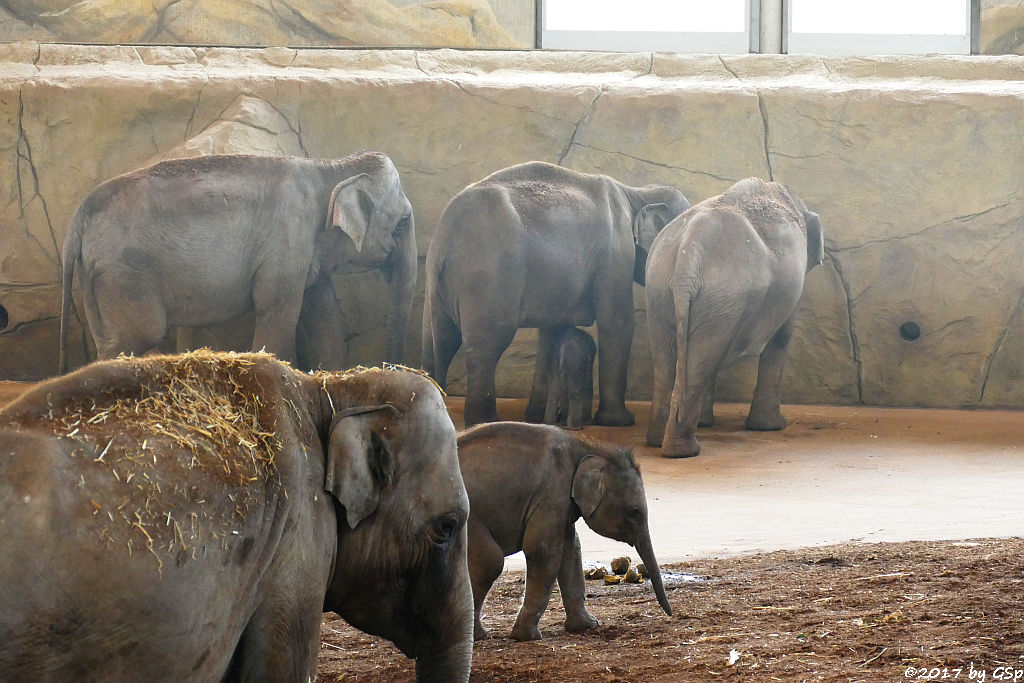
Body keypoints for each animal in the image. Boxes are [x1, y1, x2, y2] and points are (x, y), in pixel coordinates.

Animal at [58, 151, 415, 374]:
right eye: (401, 223)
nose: (392, 365)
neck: (332, 167)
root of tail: (77, 220)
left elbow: (323, 314)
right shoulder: (287, 240)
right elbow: (278, 314)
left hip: (97, 279)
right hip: (123, 273)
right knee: (138, 334)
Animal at [419, 161, 692, 428]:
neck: (636, 192)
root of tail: (444, 237)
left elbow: (553, 331)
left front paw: (537, 417)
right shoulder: (616, 251)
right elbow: (617, 321)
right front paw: (619, 422)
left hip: (440, 284)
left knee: (438, 341)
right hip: (489, 276)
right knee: (486, 345)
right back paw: (485, 421)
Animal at [458, 421, 671, 643]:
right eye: (634, 512)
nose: (670, 615)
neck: (587, 447)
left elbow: (571, 550)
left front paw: (587, 625)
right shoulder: (552, 493)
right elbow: (542, 551)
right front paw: (527, 637)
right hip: (468, 517)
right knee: (490, 562)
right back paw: (478, 636)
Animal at [647, 178, 823, 458]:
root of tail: (690, 247)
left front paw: (708, 423)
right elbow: (781, 337)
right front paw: (772, 427)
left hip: (661, 289)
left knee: (671, 358)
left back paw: (658, 441)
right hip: (725, 295)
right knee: (705, 357)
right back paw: (685, 451)